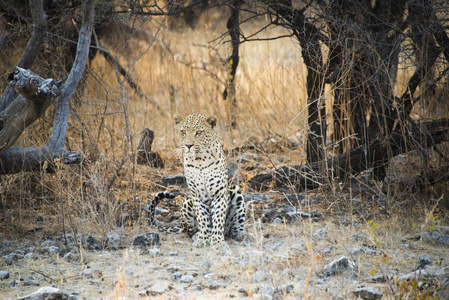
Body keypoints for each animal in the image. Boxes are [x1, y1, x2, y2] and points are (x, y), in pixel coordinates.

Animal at [147, 112, 245, 246]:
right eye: (183, 131)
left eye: (198, 132)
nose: (188, 145)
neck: (200, 160)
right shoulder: (196, 194)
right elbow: (202, 218)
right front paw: (203, 239)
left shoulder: (219, 193)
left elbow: (218, 218)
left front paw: (217, 241)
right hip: (187, 202)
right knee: (189, 230)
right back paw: (198, 235)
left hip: (234, 190)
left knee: (233, 226)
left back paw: (239, 234)